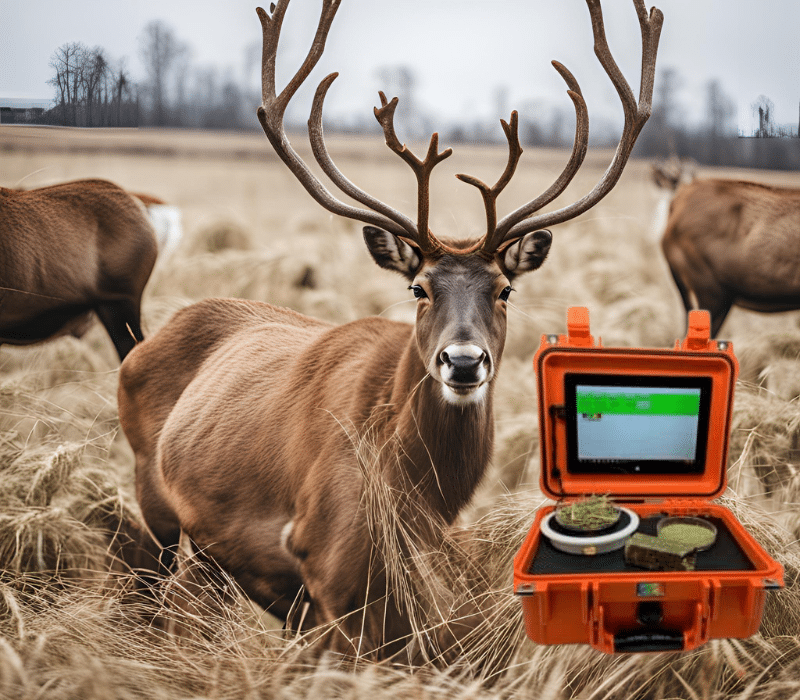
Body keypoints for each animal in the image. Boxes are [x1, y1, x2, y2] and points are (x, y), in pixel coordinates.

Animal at [117, 0, 662, 659]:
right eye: (419, 288)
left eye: (504, 289)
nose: (463, 361)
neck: (414, 488)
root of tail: (150, 338)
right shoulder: (328, 560)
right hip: (153, 495)